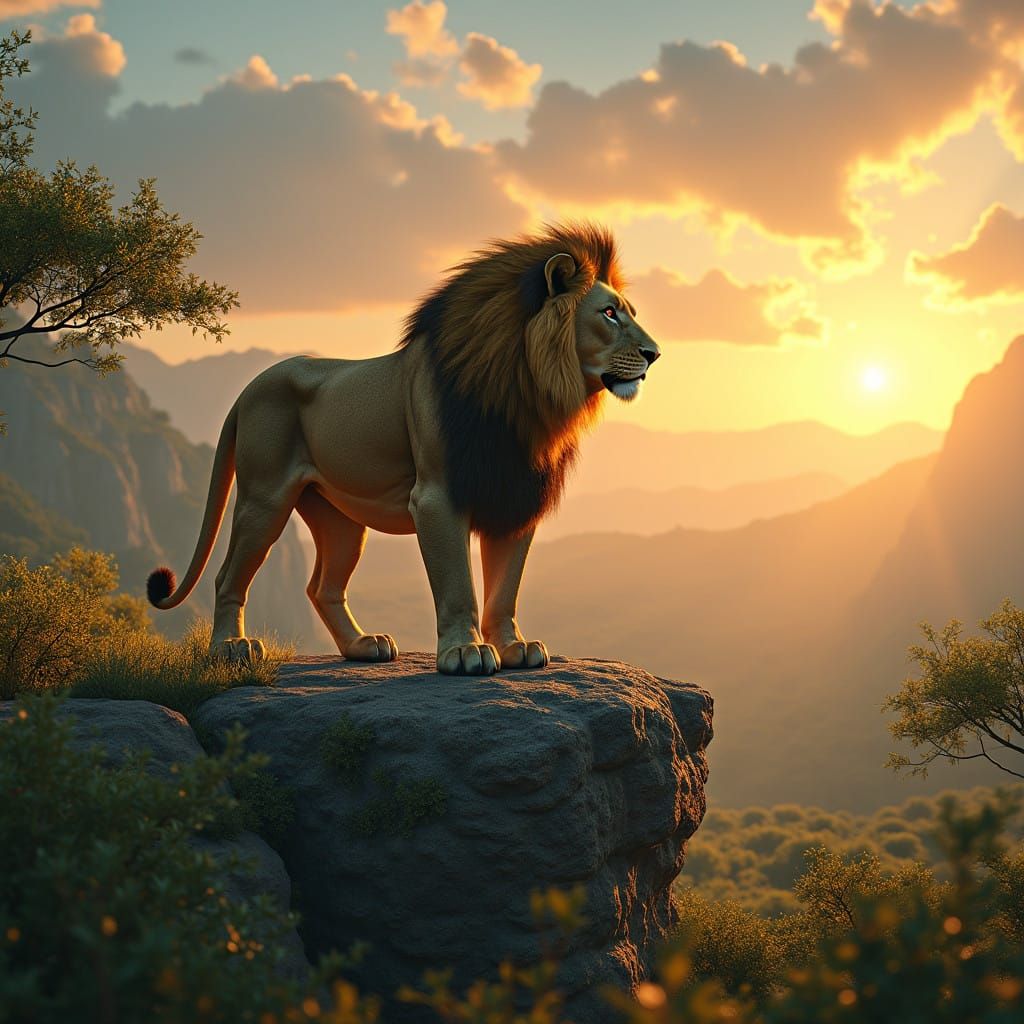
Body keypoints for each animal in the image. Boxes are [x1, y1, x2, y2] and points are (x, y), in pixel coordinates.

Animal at [146, 223, 661, 675]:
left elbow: (504, 587)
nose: (655, 354)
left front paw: (515, 648)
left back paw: (362, 645)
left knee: (322, 587)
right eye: (609, 313)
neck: (525, 393)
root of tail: (250, 386)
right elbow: (458, 585)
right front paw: (465, 653)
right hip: (265, 498)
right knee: (227, 576)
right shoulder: (436, 497)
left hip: (341, 521)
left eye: (630, 311)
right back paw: (230, 647)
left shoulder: (513, 495)